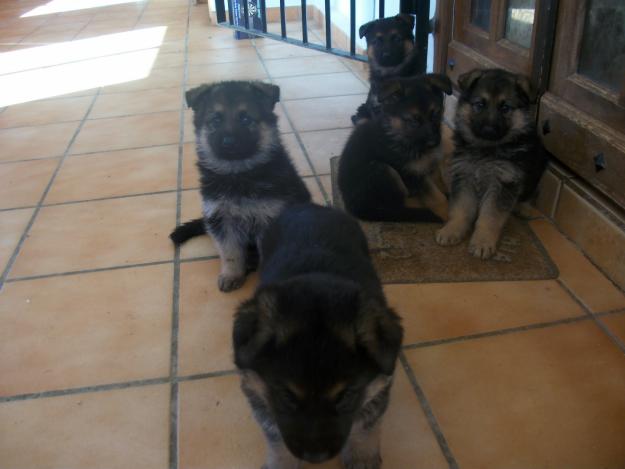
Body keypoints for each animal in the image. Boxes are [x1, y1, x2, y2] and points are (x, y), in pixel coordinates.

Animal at [171, 82, 310, 290]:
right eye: (216, 120)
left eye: (245, 119)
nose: (228, 142)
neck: (237, 172)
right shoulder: (221, 220)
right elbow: (230, 252)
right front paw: (232, 274)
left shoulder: (268, 220)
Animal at [232, 204, 402, 468]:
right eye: (286, 396)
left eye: (346, 396)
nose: (316, 458)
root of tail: (308, 206)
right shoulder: (257, 392)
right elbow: (275, 435)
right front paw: (281, 464)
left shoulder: (380, 385)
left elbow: (365, 425)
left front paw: (362, 458)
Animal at [338, 73, 450, 223]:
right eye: (413, 121)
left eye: (436, 115)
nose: (434, 143)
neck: (400, 134)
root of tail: (355, 209)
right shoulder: (413, 174)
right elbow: (436, 196)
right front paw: (447, 213)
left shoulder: (429, 165)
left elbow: (439, 178)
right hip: (382, 170)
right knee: (395, 206)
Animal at [434, 68, 544, 260]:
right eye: (480, 104)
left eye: (505, 108)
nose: (489, 129)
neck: (486, 149)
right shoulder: (464, 175)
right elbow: (461, 208)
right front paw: (452, 230)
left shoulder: (503, 183)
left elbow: (490, 217)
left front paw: (482, 242)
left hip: (537, 166)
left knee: (532, 191)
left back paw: (524, 207)